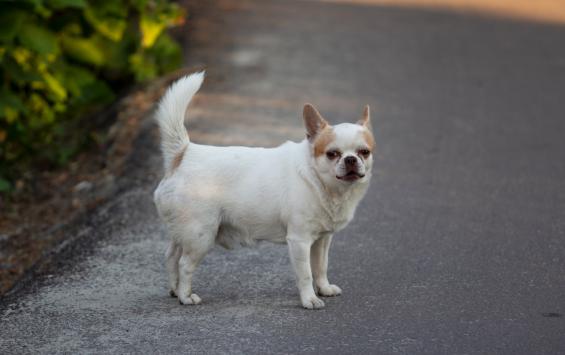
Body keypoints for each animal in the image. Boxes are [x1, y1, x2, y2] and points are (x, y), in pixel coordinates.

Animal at [154, 72, 374, 308]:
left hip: (184, 233)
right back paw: (186, 296)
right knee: (185, 264)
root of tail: (184, 153)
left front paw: (323, 289)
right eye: (332, 154)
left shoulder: (322, 241)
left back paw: (175, 290)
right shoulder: (299, 241)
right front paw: (309, 299)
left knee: (171, 256)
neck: (320, 181)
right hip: (201, 236)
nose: (350, 159)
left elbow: (321, 267)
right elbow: (306, 273)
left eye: (364, 152)